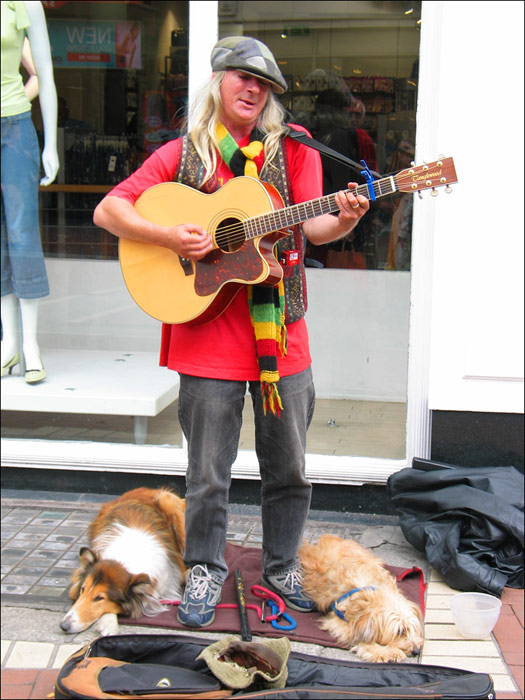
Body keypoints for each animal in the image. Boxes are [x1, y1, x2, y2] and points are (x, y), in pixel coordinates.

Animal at [59, 490, 186, 636]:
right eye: (83, 589)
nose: (64, 625)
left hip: (168, 500)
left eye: (99, 598)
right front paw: (108, 623)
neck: (127, 556)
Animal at [296, 536, 424, 660]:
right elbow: (362, 640)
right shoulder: (340, 620)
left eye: (412, 628)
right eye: (399, 631)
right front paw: (386, 652)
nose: (416, 651)